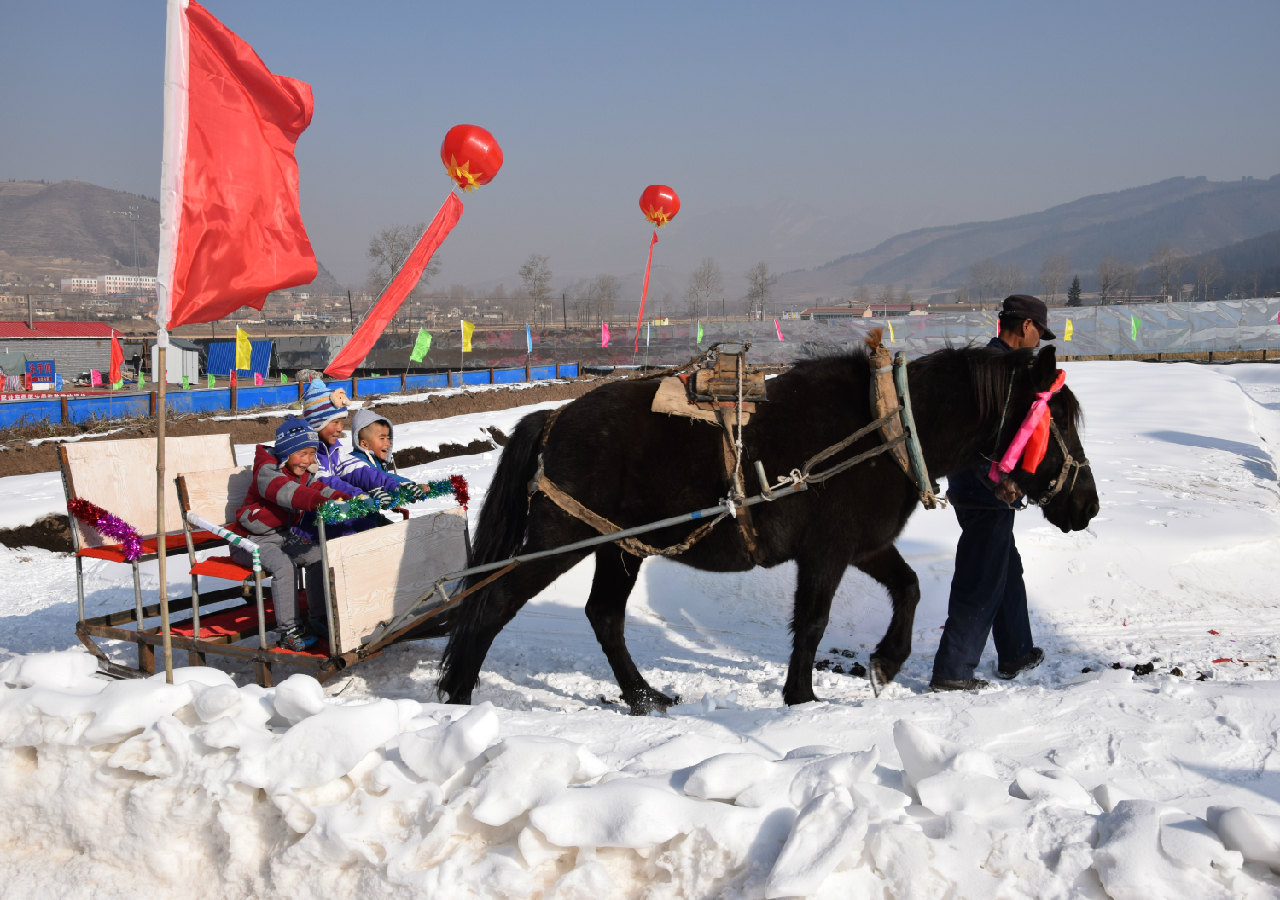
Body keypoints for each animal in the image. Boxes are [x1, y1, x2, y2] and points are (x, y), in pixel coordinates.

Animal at [440, 348, 1100, 716]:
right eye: (1060, 420)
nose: (1088, 505)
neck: (883, 430)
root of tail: (554, 416)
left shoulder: (864, 546)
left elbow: (909, 588)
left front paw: (885, 662)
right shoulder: (827, 553)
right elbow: (812, 622)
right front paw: (801, 697)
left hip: (619, 546)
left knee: (604, 616)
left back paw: (644, 697)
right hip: (560, 538)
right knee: (494, 603)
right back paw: (457, 695)